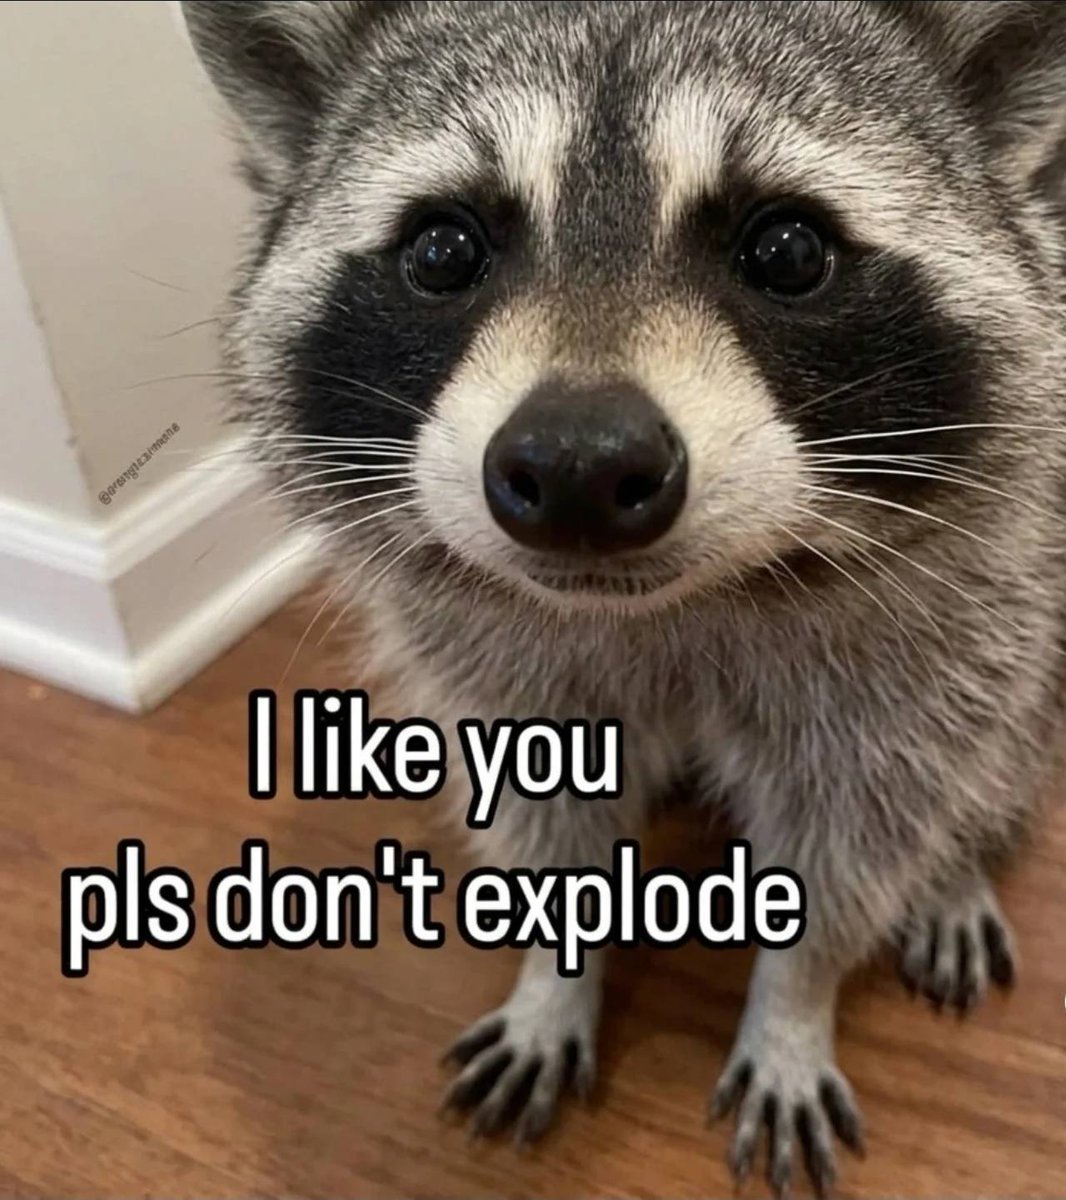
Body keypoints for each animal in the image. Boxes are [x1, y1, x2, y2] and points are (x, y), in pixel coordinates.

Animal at [182, 1, 1066, 1193]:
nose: (577, 470)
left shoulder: (927, 630)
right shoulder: (493, 659)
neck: (666, 606)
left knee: (993, 734)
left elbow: (856, 827)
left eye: (787, 250)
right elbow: (541, 810)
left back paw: (959, 864)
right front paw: (556, 976)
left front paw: (795, 998)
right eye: (442, 250)